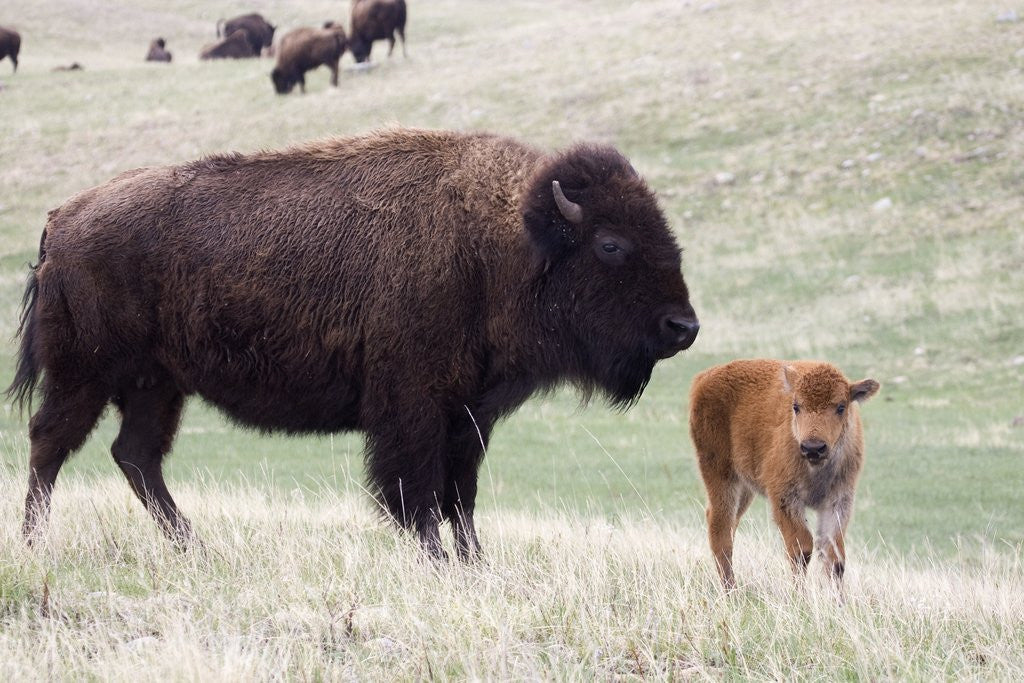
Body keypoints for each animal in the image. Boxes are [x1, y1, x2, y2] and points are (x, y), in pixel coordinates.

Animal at [7, 128, 699, 560]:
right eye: (611, 244)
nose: (684, 327)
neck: (501, 240)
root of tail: (61, 218)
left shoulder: (469, 413)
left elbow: (462, 495)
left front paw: (474, 564)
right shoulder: (413, 407)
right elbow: (418, 493)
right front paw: (438, 563)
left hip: (156, 383)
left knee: (136, 455)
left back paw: (196, 548)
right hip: (85, 374)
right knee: (50, 443)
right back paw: (35, 543)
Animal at [689, 360, 879, 589]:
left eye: (841, 407)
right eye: (796, 406)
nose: (813, 447)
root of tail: (704, 377)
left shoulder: (838, 501)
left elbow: (834, 557)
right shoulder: (785, 497)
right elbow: (801, 549)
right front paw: (800, 595)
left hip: (745, 487)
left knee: (729, 524)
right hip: (721, 474)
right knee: (721, 527)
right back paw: (731, 590)